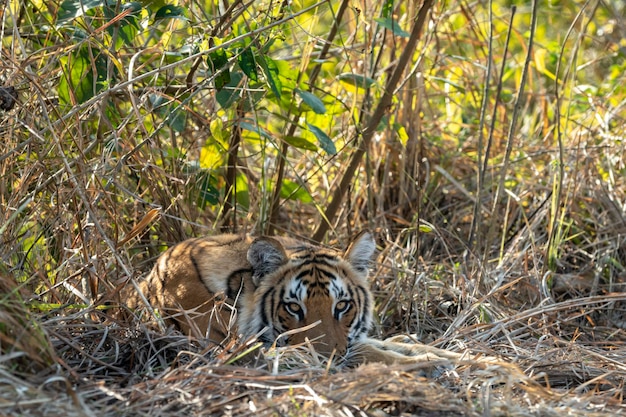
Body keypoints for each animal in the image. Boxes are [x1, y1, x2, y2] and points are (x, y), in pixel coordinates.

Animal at [129, 231, 472, 364]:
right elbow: (376, 354)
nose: (326, 359)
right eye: (293, 308)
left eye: (342, 305)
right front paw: (430, 365)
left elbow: (399, 345)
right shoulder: (237, 349)